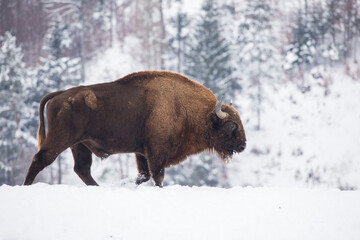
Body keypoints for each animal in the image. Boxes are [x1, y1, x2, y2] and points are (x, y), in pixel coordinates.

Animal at [23, 70, 246, 187]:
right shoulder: (156, 152)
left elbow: (143, 175)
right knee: (40, 160)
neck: (185, 107)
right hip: (60, 139)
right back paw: (26, 186)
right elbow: (157, 176)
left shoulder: (141, 153)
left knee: (82, 169)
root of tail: (60, 95)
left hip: (79, 145)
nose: (243, 145)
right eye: (230, 126)